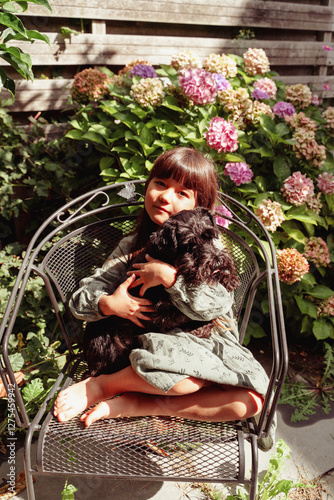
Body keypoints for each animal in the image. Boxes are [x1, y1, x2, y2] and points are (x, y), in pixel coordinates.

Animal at [84, 207, 240, 376]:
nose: (217, 262)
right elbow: (194, 316)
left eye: (210, 236)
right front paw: (202, 328)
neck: (164, 258)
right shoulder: (162, 314)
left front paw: (229, 278)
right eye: (189, 246)